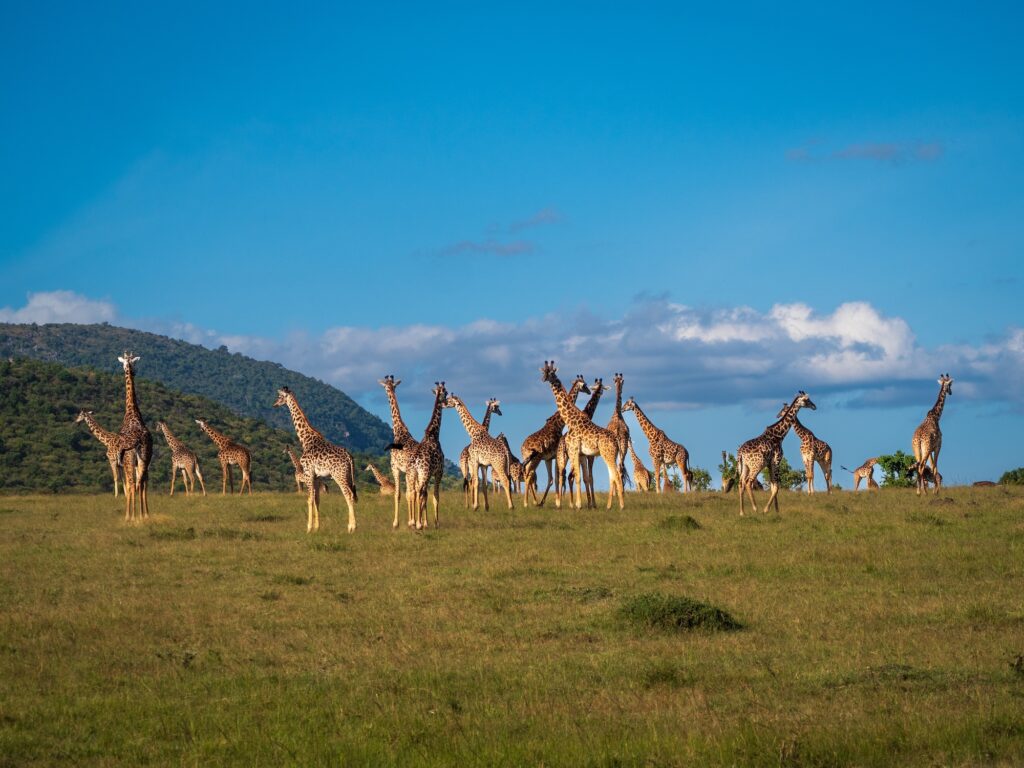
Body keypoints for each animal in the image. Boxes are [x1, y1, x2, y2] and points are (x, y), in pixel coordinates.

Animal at [273, 386, 358, 533]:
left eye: (280, 397)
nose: (274, 404)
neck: (305, 439)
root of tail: (349, 457)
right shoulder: (317, 477)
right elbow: (317, 500)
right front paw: (317, 528)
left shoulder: (308, 473)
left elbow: (309, 499)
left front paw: (308, 528)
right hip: (347, 475)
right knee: (351, 494)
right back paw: (353, 526)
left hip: (338, 475)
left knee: (347, 494)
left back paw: (351, 527)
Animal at [379, 375, 419, 528]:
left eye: (385, 386)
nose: (387, 390)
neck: (399, 429)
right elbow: (407, 494)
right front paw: (410, 520)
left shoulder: (394, 467)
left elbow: (398, 494)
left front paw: (395, 523)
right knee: (418, 492)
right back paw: (418, 521)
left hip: (411, 472)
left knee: (413, 492)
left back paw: (414, 522)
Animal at [403, 382, 448, 529]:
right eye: (445, 392)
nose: (446, 402)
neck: (433, 434)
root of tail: (415, 461)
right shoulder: (439, 472)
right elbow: (435, 496)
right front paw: (436, 523)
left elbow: (426, 496)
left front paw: (425, 522)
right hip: (424, 473)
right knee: (420, 493)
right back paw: (418, 524)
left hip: (412, 474)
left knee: (413, 492)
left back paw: (413, 522)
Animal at [520, 374, 589, 507]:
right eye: (584, 385)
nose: (589, 391)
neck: (558, 423)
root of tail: (523, 447)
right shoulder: (557, 455)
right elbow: (557, 477)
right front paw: (558, 502)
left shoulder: (548, 458)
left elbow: (552, 479)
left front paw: (547, 501)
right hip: (536, 459)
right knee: (529, 475)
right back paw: (526, 503)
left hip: (528, 458)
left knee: (527, 474)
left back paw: (534, 501)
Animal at [540, 361, 624, 510]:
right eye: (544, 371)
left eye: (551, 373)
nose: (544, 378)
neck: (571, 420)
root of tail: (616, 440)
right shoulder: (582, 454)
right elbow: (583, 477)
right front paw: (584, 504)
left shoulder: (576, 451)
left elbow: (581, 477)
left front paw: (580, 505)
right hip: (606, 455)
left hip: (606, 455)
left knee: (615, 475)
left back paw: (620, 506)